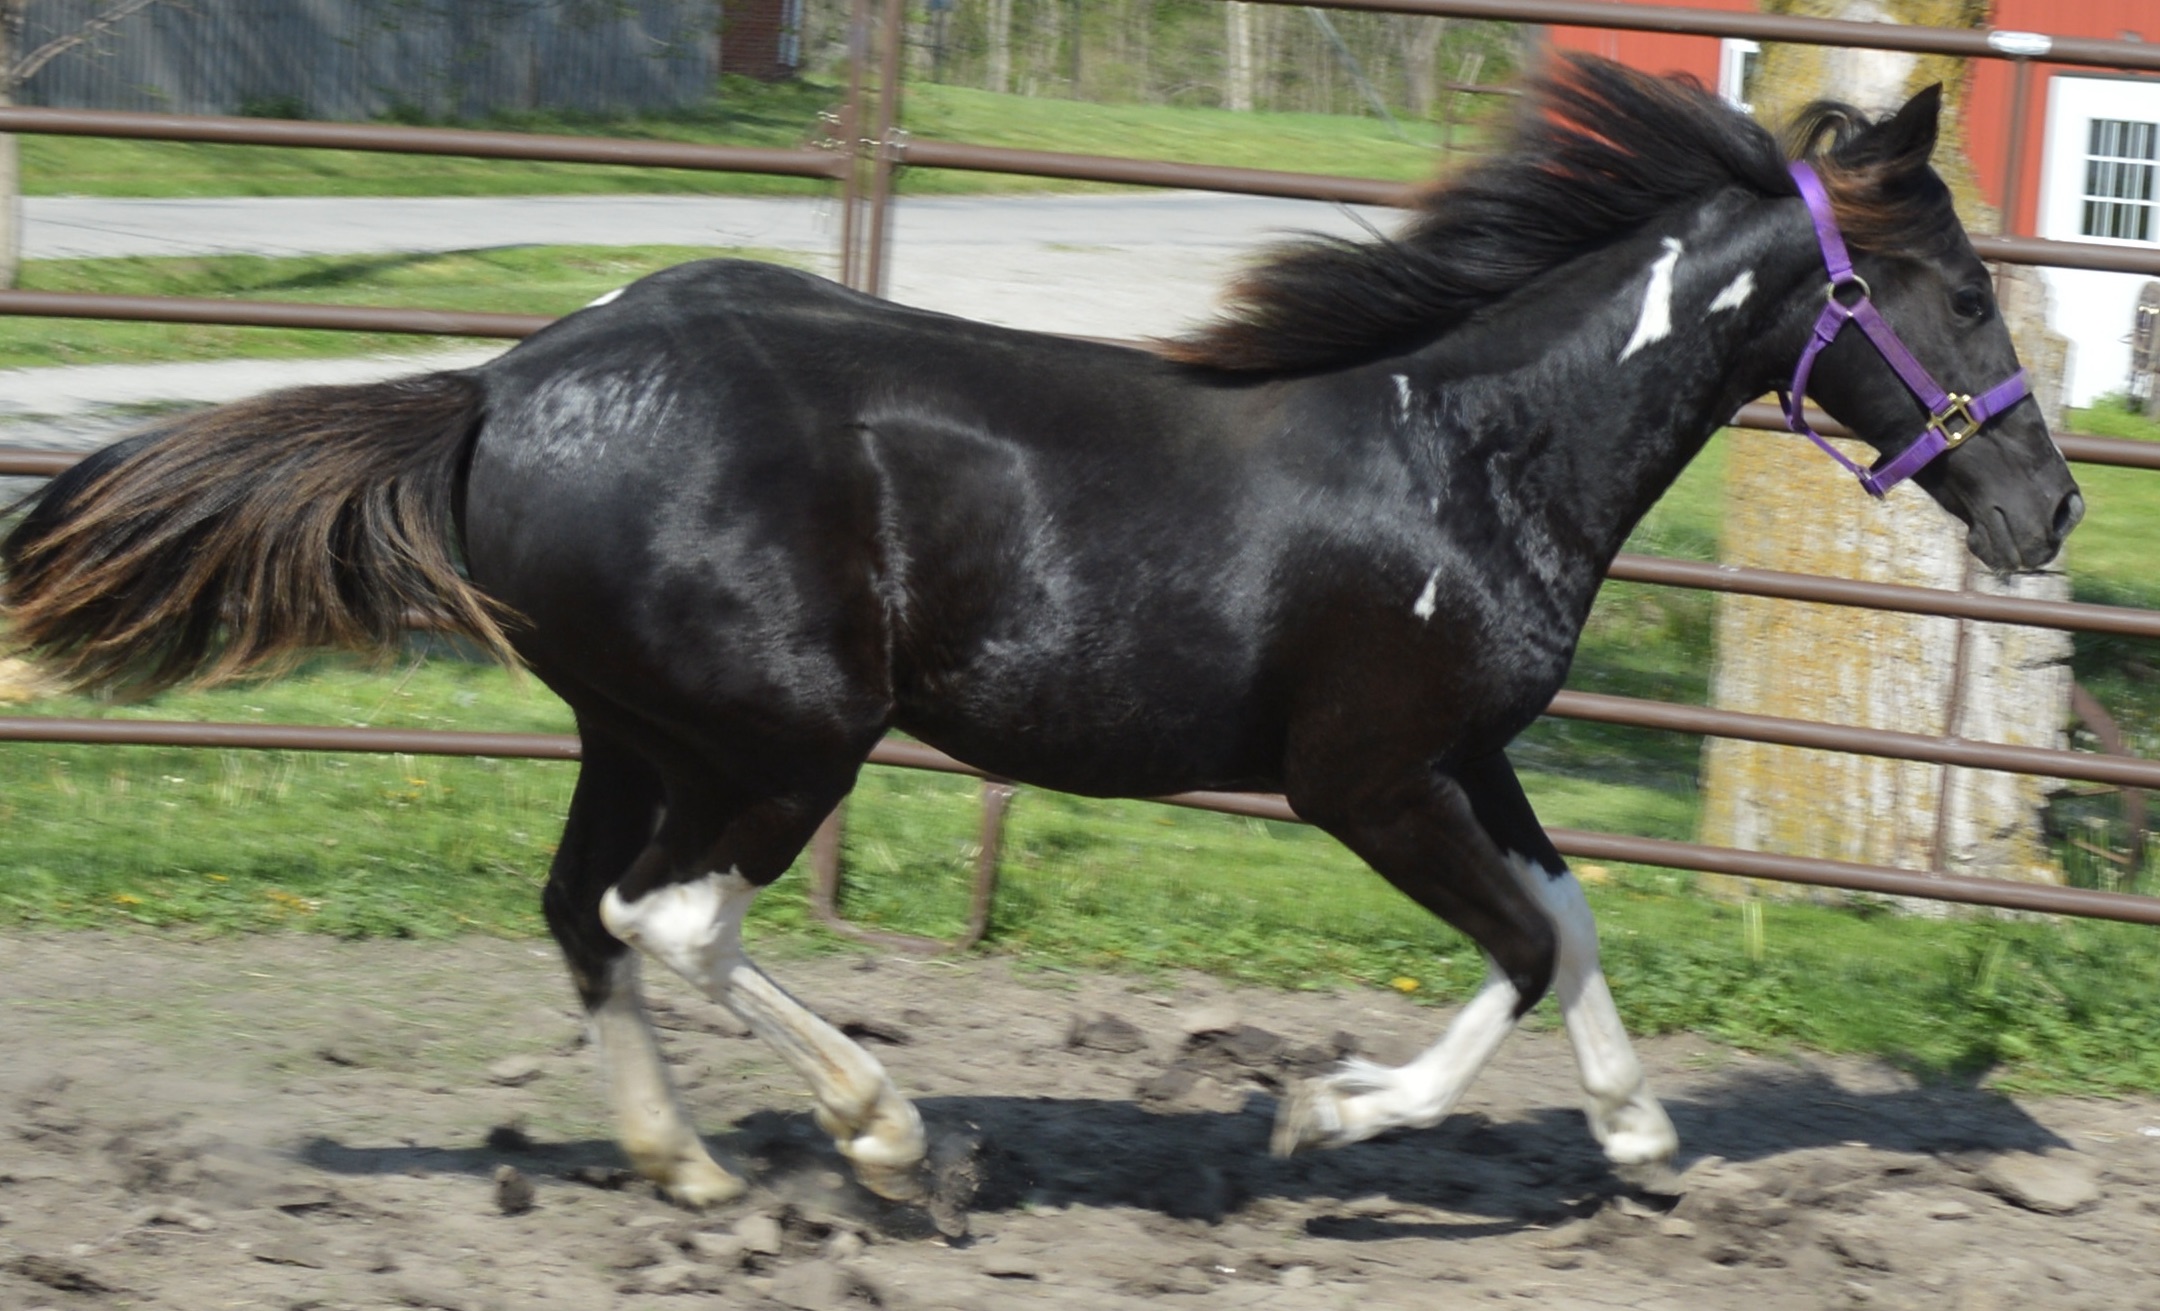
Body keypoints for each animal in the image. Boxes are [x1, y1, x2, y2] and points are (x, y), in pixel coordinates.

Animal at [2, 56, 2080, 1210]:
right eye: (1964, 293)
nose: (2051, 512)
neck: (1469, 454)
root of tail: (504, 385)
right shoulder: (1363, 777)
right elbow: (1504, 945)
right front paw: (1323, 1118)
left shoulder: (1466, 753)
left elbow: (1568, 919)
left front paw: (1644, 1147)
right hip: (784, 735)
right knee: (674, 918)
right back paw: (885, 1137)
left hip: (639, 729)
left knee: (588, 917)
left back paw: (687, 1162)